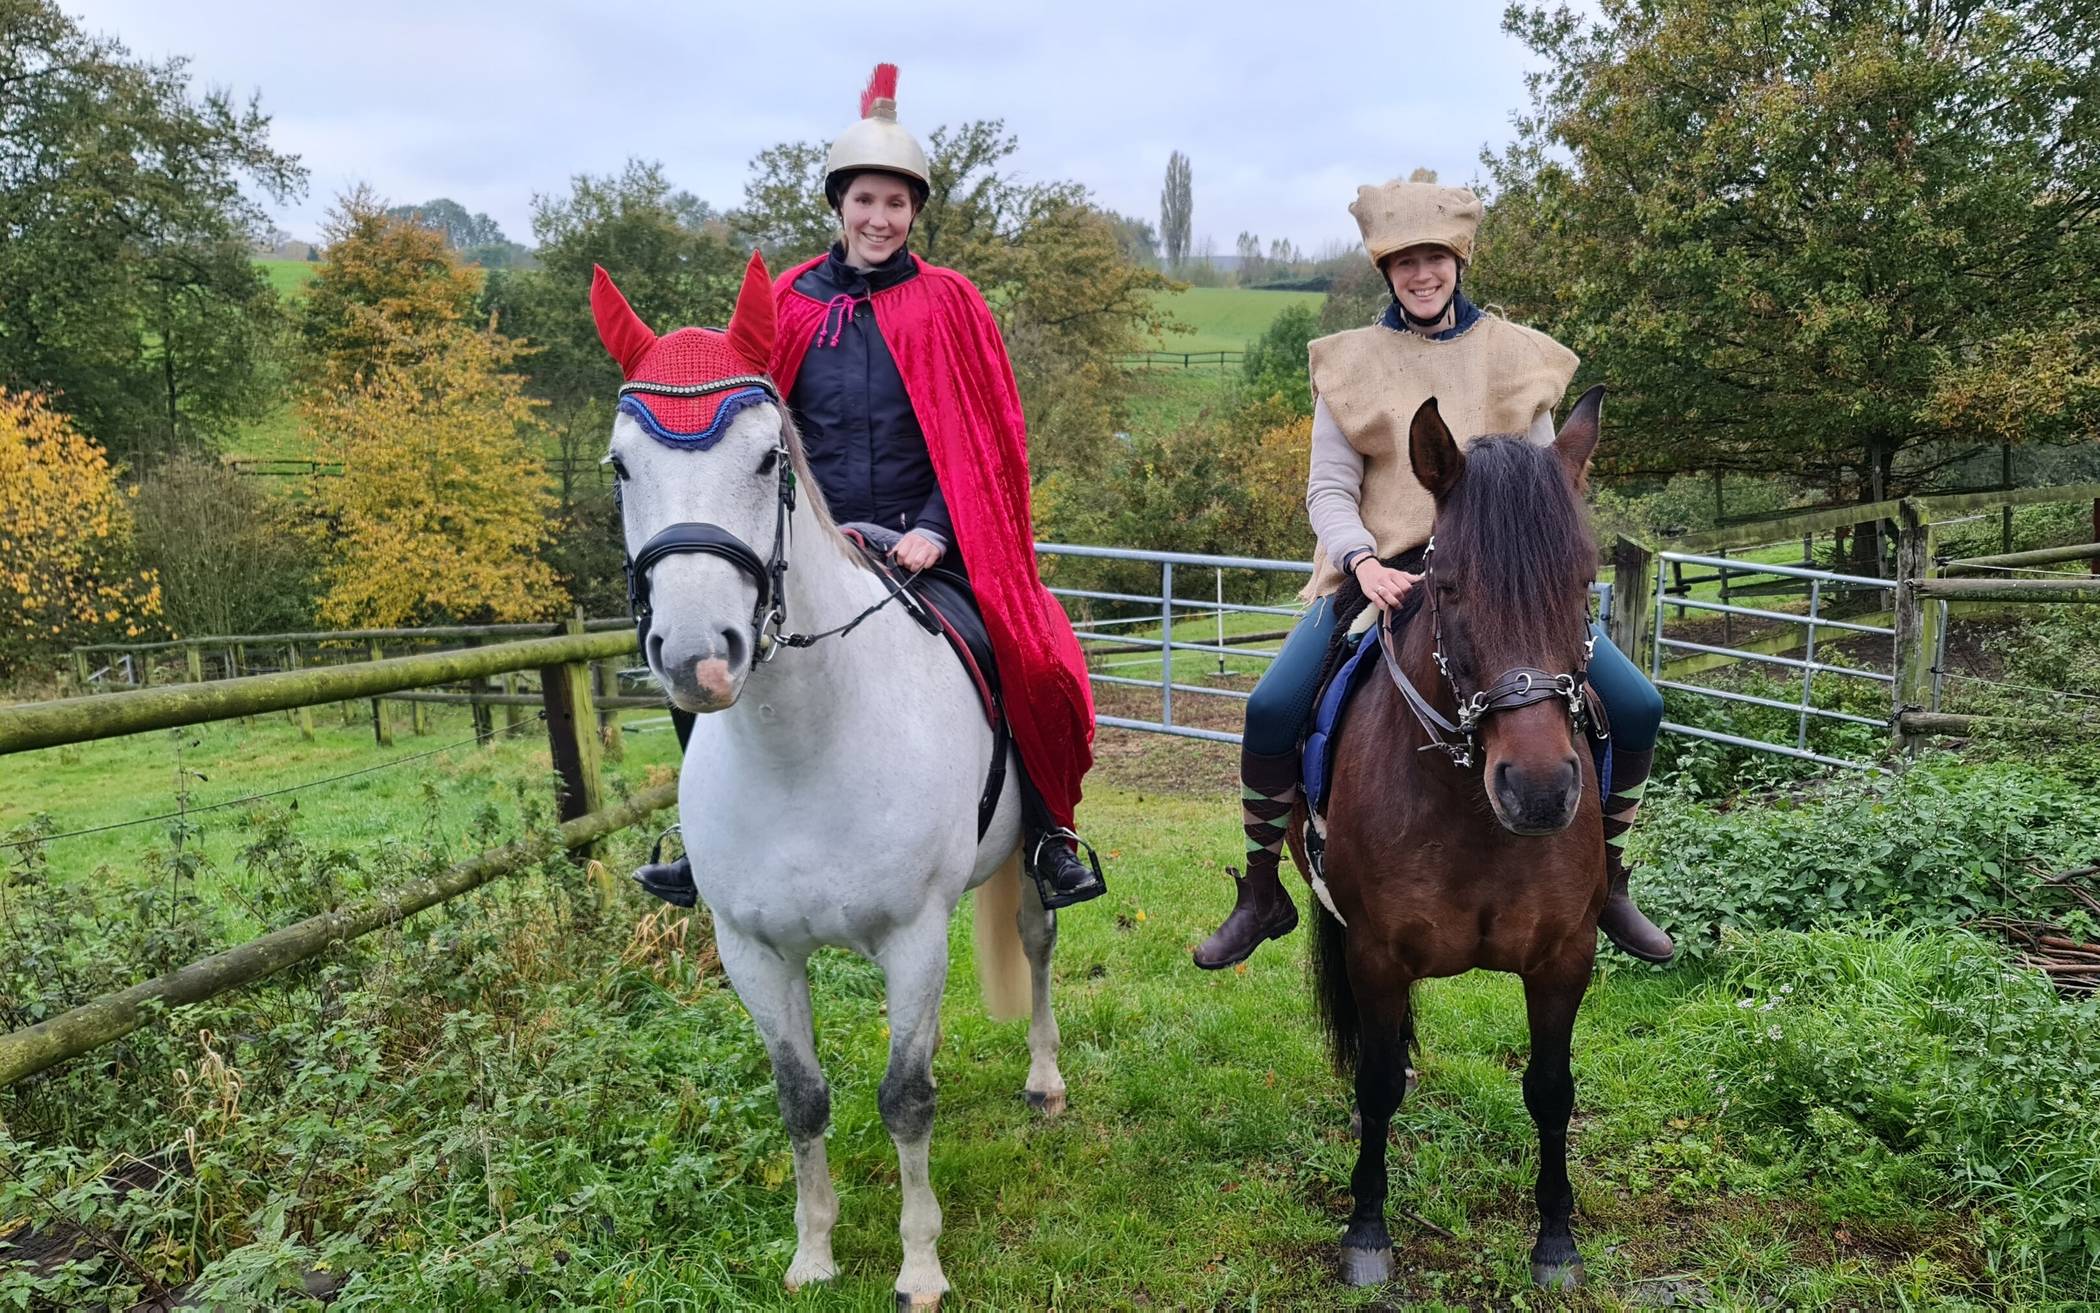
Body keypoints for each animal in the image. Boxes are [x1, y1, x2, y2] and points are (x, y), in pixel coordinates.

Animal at [609, 317, 1066, 1302]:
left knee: (1038, 947)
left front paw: (920, 1267)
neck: (802, 749)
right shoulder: (752, 951)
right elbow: (801, 1095)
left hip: (1029, 865)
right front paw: (813, 1252)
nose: (700, 655)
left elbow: (905, 1098)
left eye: (767, 457)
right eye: (621, 465)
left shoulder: (912, 936)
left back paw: (1046, 1079)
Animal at [1293, 384, 1604, 1285]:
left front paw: (1556, 1237)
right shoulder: (1374, 951)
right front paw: (1366, 1230)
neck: (1469, 814)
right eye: (1452, 584)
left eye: (1584, 583)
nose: (1538, 791)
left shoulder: (1566, 956)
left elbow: (1550, 1087)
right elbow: (1374, 1089)